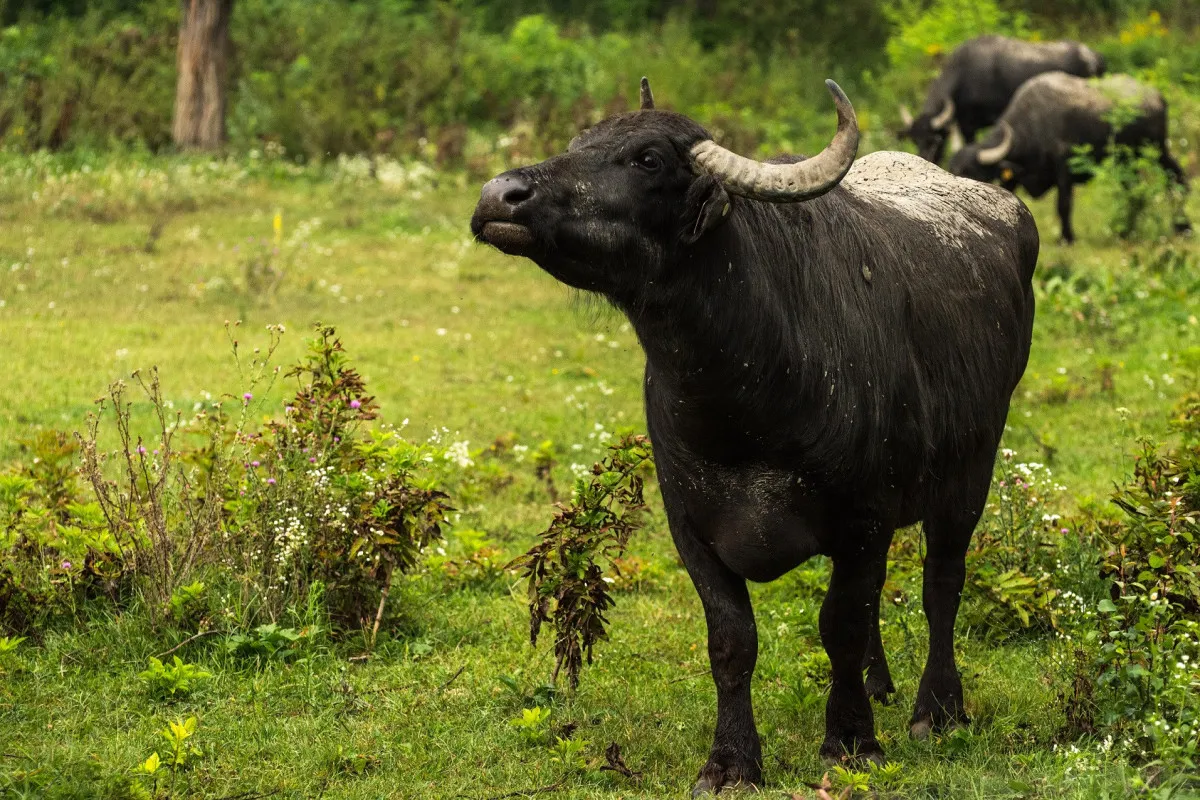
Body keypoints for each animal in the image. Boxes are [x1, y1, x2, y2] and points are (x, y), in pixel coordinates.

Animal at [470, 77, 1041, 791]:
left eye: (648, 159)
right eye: (579, 142)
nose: (499, 195)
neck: (750, 399)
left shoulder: (864, 517)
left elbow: (841, 624)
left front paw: (851, 740)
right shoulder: (691, 526)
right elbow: (732, 641)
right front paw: (732, 761)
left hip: (971, 472)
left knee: (942, 585)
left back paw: (936, 709)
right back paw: (880, 685)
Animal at [902, 34, 1104, 164]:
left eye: (934, 140)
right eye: (915, 140)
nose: (925, 158)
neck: (963, 75)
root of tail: (1092, 56)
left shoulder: (976, 125)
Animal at [945, 73, 1190, 242]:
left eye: (970, 171)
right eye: (952, 168)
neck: (1033, 126)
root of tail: (1157, 97)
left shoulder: (1064, 166)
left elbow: (1063, 203)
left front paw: (1067, 236)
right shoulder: (1015, 174)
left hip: (1156, 149)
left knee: (1176, 178)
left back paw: (1182, 226)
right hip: (1129, 159)